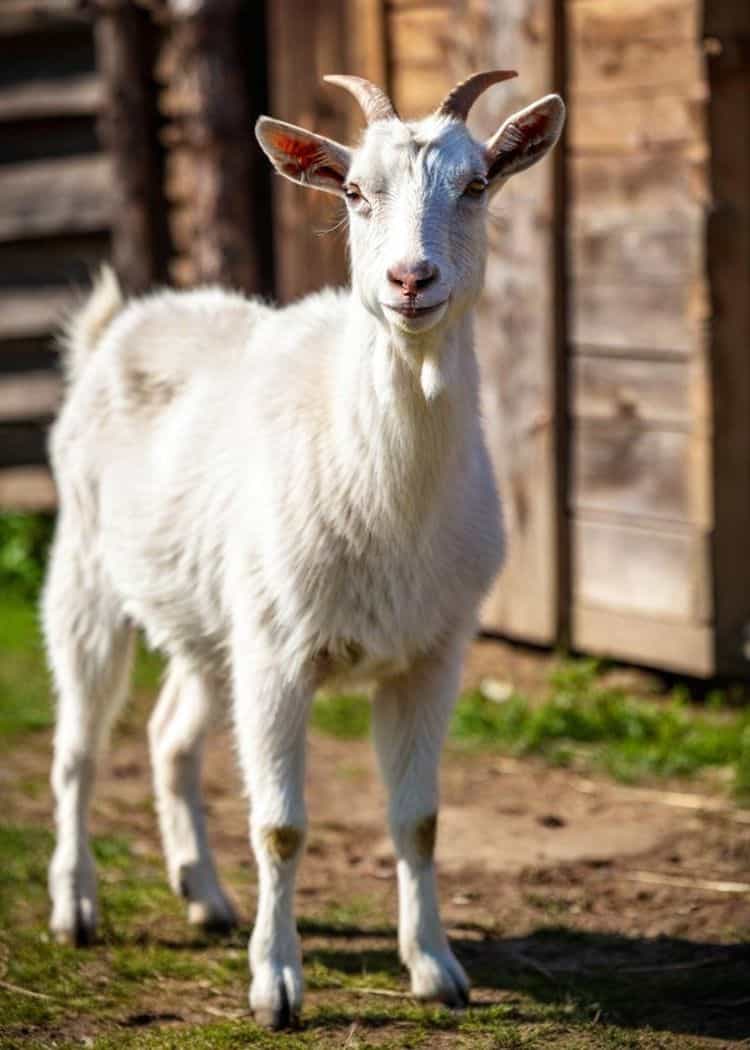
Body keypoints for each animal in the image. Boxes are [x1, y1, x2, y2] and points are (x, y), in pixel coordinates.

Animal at [44, 72, 564, 1029]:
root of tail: (118, 327)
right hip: (89, 572)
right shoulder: (281, 654)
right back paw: (77, 907)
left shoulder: (430, 655)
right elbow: (280, 825)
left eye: (477, 184)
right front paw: (277, 986)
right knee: (79, 748)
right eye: (354, 191)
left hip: (215, 624)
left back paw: (205, 896)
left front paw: (436, 968)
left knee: (170, 737)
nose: (410, 278)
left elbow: (420, 819)